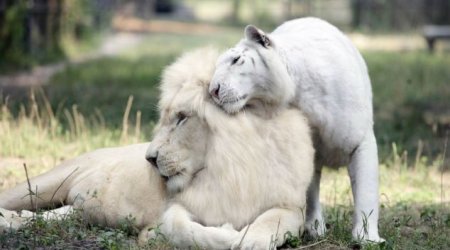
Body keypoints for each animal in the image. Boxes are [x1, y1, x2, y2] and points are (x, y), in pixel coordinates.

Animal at [0, 47, 312, 249]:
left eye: (182, 118)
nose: (149, 158)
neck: (229, 167)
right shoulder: (176, 208)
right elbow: (182, 229)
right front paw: (155, 235)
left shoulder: (290, 207)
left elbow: (264, 229)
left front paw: (246, 238)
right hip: (44, 183)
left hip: (76, 208)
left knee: (48, 216)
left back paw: (14, 221)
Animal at [208, 17, 384, 242]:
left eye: (236, 59)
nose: (212, 91)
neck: (299, 92)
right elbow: (309, 191)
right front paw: (315, 228)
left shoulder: (360, 141)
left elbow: (366, 191)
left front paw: (367, 238)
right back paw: (315, 228)